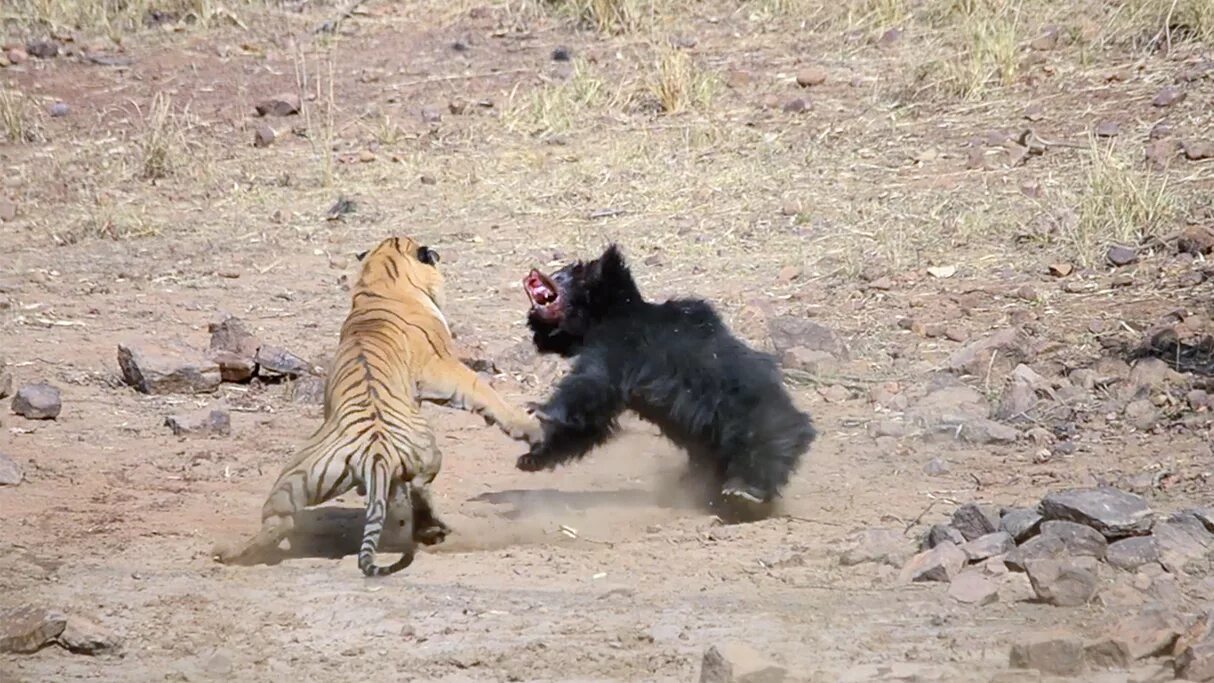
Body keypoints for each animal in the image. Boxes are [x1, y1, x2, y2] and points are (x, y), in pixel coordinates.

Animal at [213, 236, 541, 577]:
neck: (380, 282)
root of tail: (377, 453)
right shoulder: (442, 367)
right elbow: (485, 393)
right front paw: (529, 426)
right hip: (428, 450)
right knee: (419, 486)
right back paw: (431, 529)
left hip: (293, 479)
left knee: (279, 522)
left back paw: (228, 553)